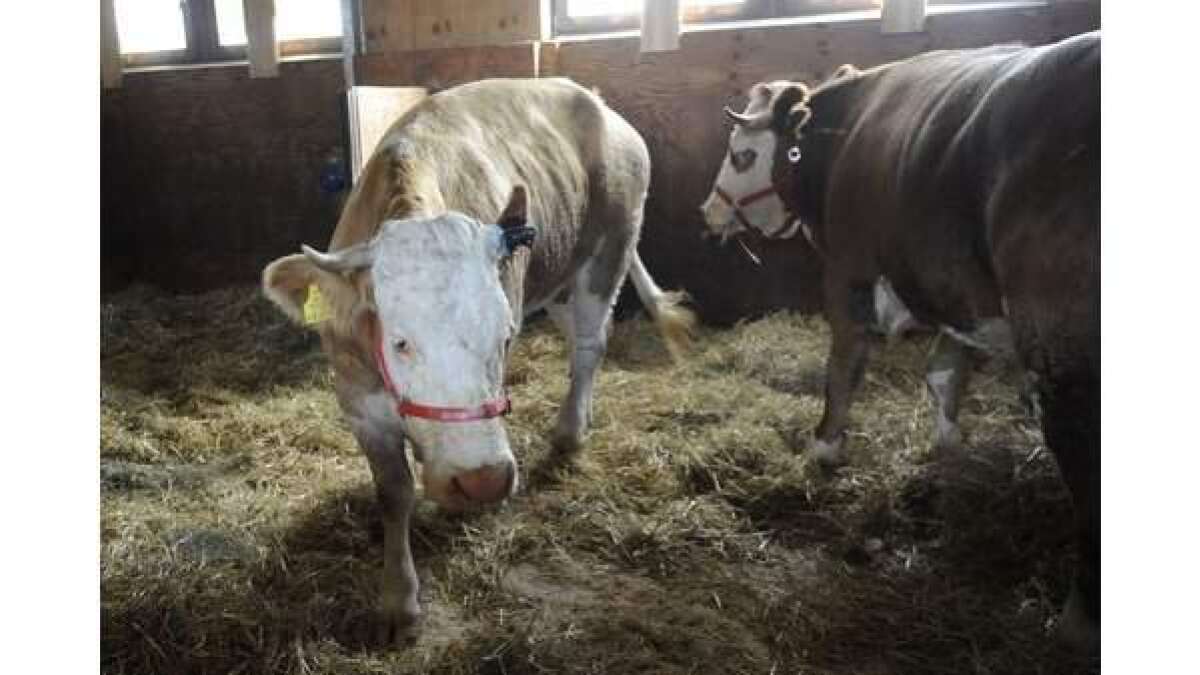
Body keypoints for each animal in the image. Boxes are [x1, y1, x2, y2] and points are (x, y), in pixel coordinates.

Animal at [262, 78, 696, 638]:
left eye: (505, 338)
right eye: (400, 341)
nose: (484, 479)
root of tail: (596, 101)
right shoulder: (357, 399)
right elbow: (394, 491)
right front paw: (398, 601)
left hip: (608, 252)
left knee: (590, 343)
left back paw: (569, 433)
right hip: (559, 275)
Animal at [700, 32, 1099, 648]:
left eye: (742, 153)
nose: (709, 211)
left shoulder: (850, 270)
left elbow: (844, 366)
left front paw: (824, 446)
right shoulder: (956, 288)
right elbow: (945, 372)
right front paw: (949, 445)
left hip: (1066, 352)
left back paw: (1077, 619)